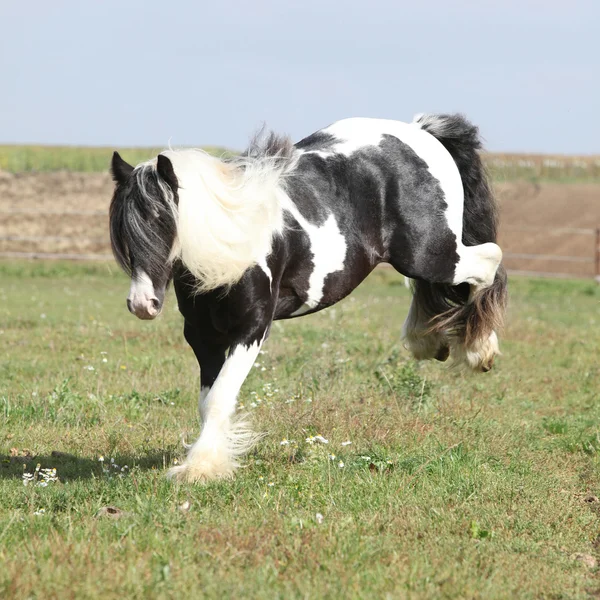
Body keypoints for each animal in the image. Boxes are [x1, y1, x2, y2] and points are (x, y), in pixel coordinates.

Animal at [108, 113, 506, 482]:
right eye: (123, 230)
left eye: (164, 222)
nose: (142, 304)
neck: (230, 246)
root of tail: (420, 131)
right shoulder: (202, 336)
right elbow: (208, 402)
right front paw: (208, 462)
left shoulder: (252, 329)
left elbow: (220, 398)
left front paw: (200, 469)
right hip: (422, 258)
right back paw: (430, 340)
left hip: (431, 254)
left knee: (489, 262)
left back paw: (479, 350)